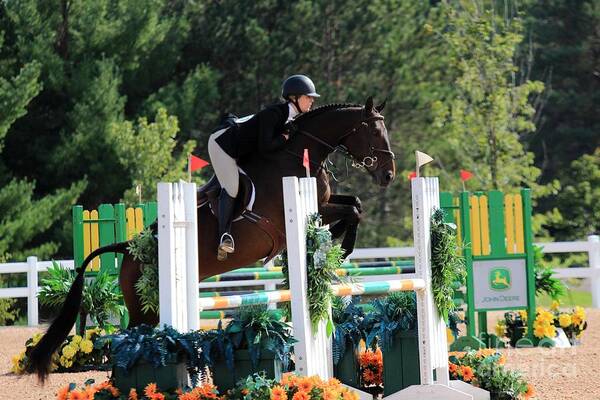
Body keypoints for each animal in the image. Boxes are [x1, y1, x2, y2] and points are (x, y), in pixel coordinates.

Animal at [28, 95, 396, 380]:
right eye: (374, 132)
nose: (389, 175)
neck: (296, 153)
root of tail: (130, 250)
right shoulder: (290, 212)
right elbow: (350, 210)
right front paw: (340, 248)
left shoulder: (322, 204)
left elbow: (355, 206)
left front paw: (336, 246)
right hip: (146, 306)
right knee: (128, 339)